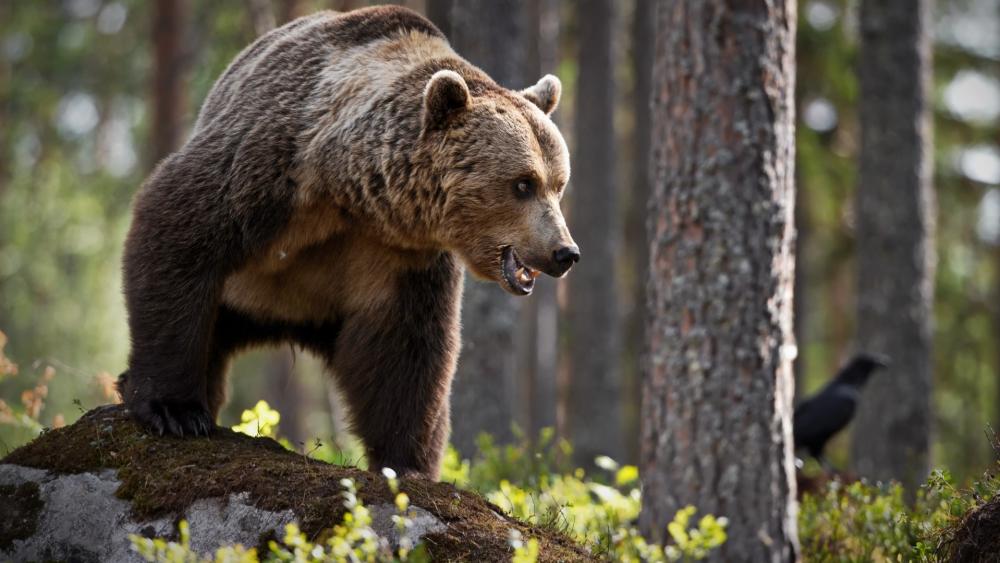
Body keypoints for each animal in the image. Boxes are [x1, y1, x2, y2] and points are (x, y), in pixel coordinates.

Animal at [117, 6, 578, 479]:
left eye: (559, 184)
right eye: (523, 183)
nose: (564, 252)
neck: (349, 190)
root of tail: (281, 320)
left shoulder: (398, 255)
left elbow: (406, 346)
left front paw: (405, 463)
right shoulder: (271, 167)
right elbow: (179, 229)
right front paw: (174, 409)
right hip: (238, 297)